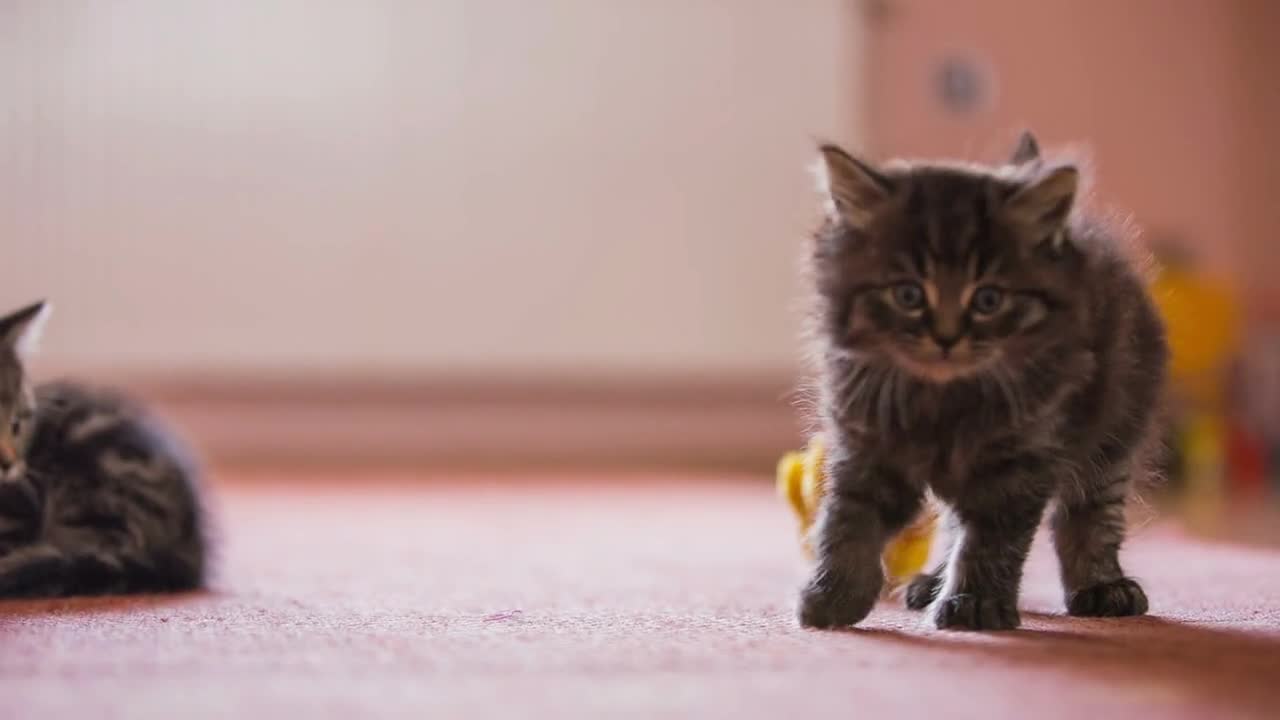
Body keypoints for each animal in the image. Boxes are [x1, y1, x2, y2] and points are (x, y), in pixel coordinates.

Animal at [798, 133, 1172, 627]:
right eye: (908, 295)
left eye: (988, 300)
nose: (946, 338)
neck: (940, 397)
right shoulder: (865, 446)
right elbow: (846, 523)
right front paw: (834, 595)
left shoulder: (1017, 461)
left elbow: (990, 541)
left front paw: (971, 603)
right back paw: (931, 581)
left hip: (1114, 432)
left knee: (1090, 517)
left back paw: (1103, 586)